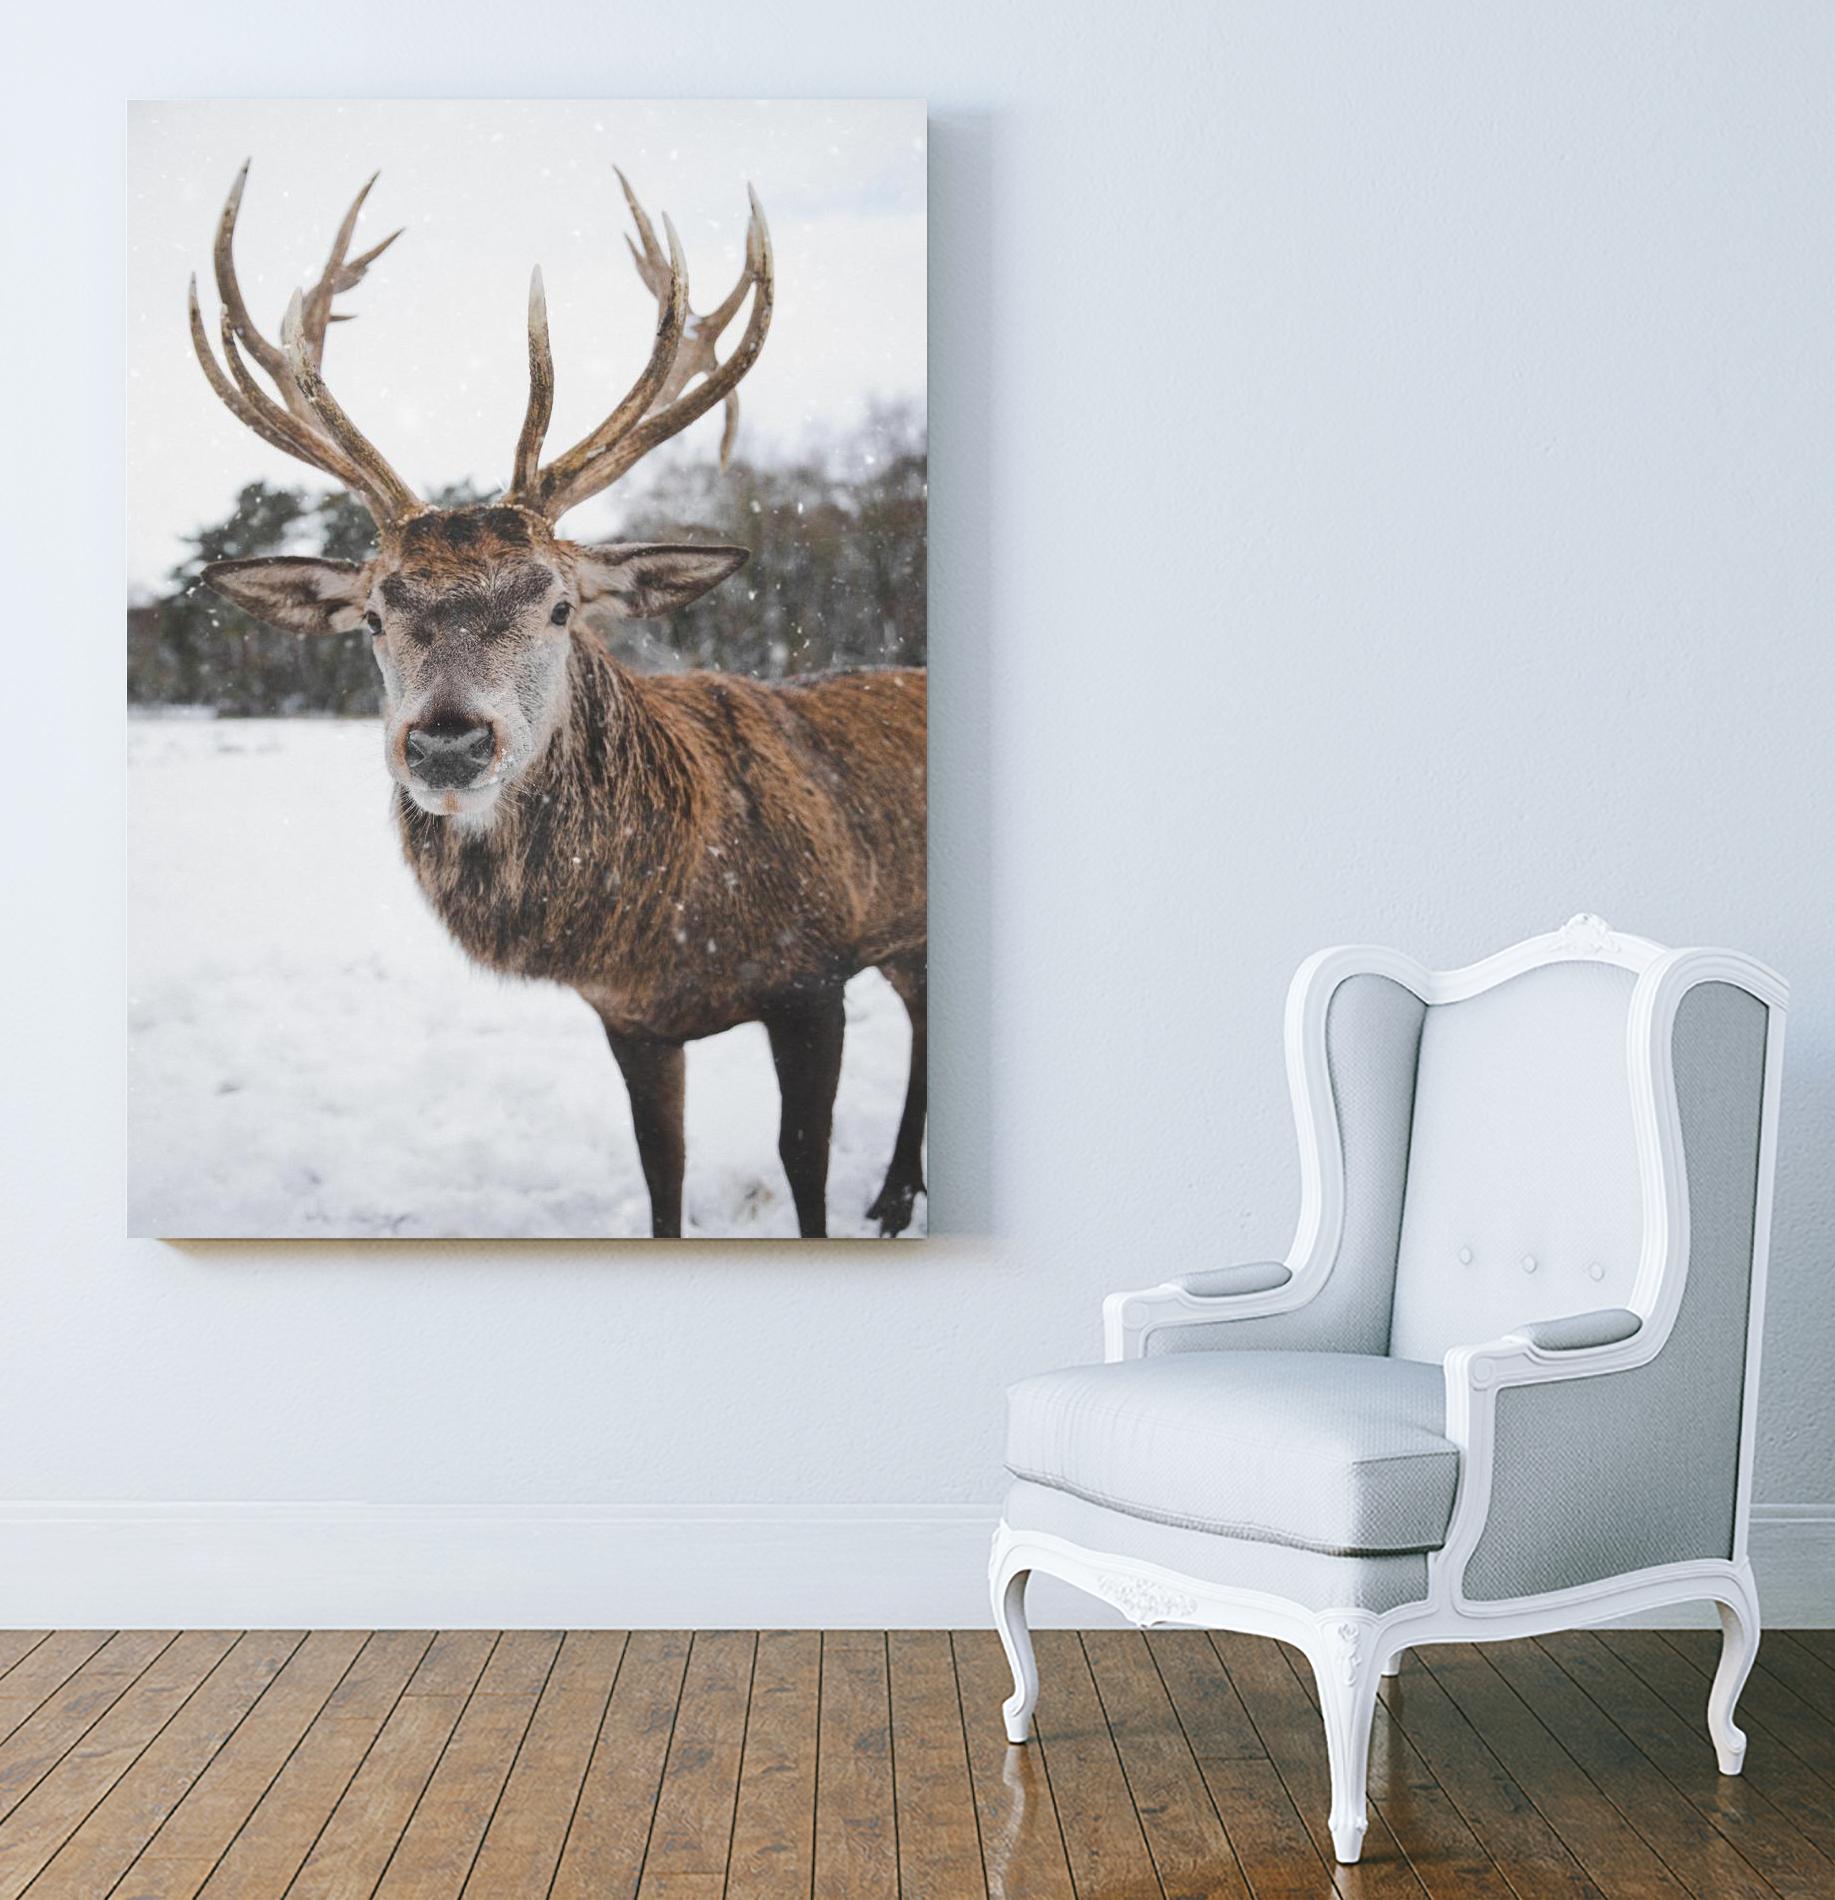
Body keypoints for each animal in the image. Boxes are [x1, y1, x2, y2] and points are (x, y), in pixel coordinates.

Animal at [186, 163, 927, 1239]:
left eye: (560, 603)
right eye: (372, 614)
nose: (447, 743)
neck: (672, 923)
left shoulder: (814, 969)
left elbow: (802, 1166)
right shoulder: (629, 1018)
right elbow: (661, 1170)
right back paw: (898, 1187)